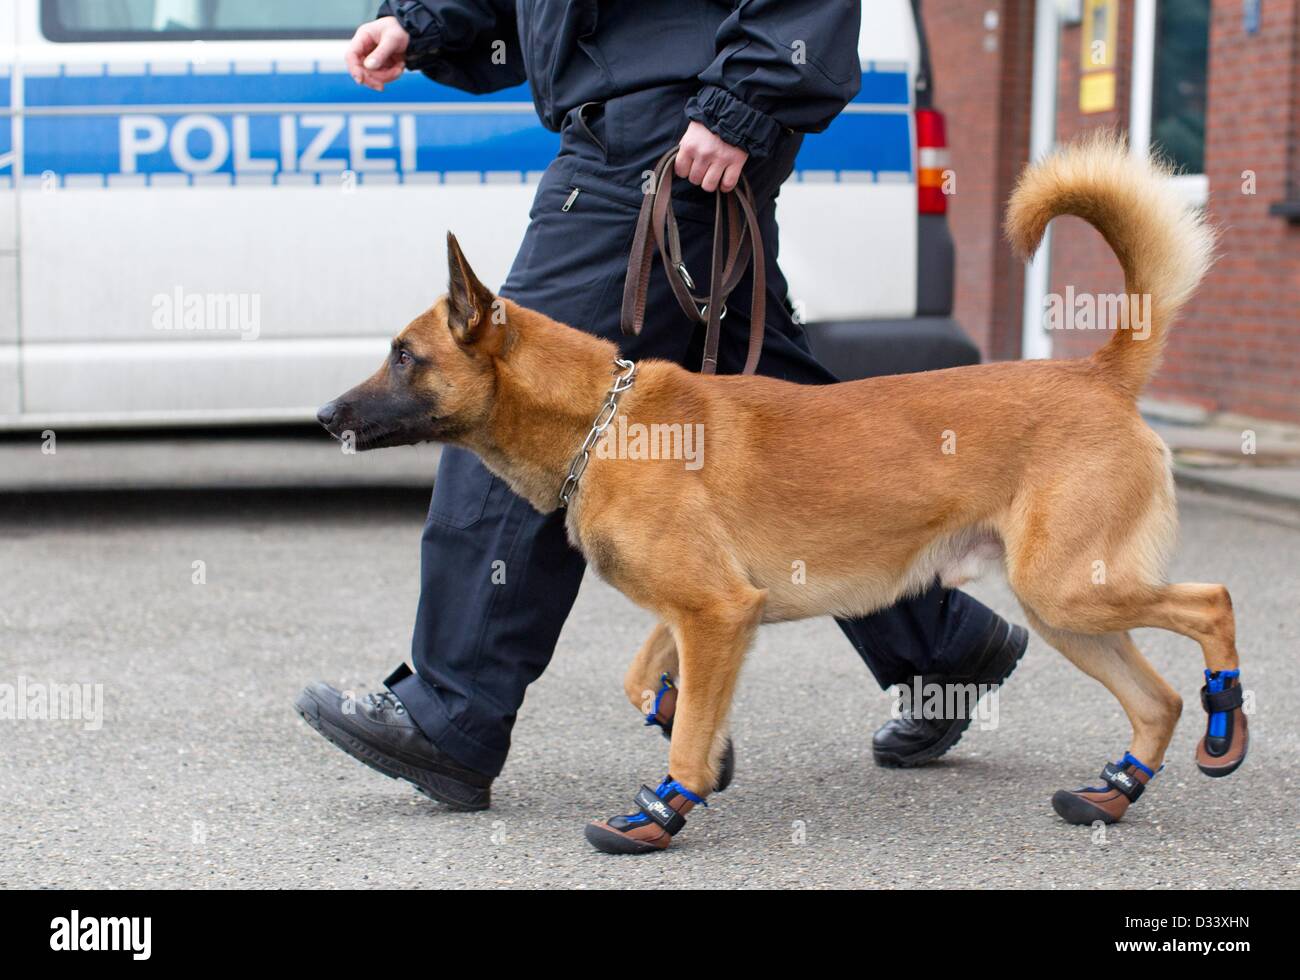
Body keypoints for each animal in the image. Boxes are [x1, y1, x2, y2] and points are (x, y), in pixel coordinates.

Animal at [317, 133, 1248, 852]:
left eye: (403, 356)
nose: (326, 415)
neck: (604, 420)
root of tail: (1099, 374)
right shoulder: (709, 614)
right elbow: (646, 681)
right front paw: (688, 730)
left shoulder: (715, 612)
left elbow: (680, 734)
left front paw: (663, 810)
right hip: (1063, 610)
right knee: (1156, 699)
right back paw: (1116, 788)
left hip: (1071, 589)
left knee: (1213, 603)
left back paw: (1224, 721)